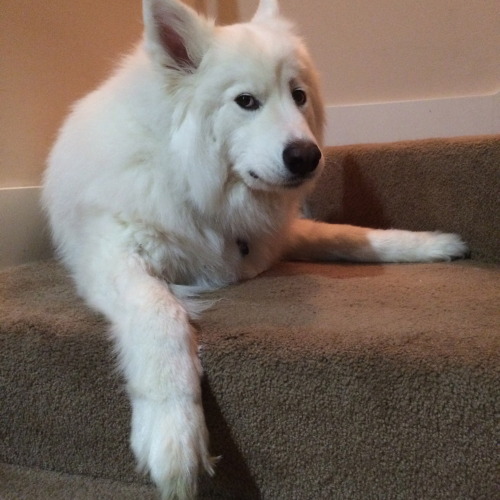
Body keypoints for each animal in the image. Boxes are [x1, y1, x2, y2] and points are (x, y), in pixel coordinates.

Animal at [42, 0, 464, 496]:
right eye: (246, 101)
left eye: (298, 96)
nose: (307, 157)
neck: (192, 181)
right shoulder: (115, 258)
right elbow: (160, 319)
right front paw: (173, 436)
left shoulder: (274, 237)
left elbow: (349, 235)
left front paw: (430, 244)